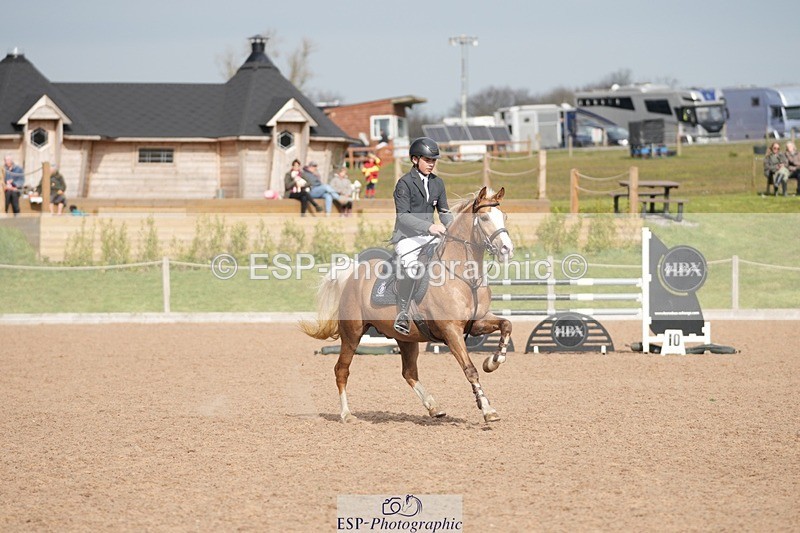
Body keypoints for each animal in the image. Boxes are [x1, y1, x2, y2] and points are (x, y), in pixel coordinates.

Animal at [300, 186, 514, 423]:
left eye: (504, 217)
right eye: (484, 218)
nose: (507, 249)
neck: (465, 277)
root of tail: (352, 274)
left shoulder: (476, 323)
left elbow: (507, 325)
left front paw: (493, 361)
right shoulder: (452, 330)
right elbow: (470, 369)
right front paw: (487, 410)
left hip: (406, 338)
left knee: (409, 373)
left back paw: (433, 407)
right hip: (352, 334)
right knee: (341, 370)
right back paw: (346, 414)